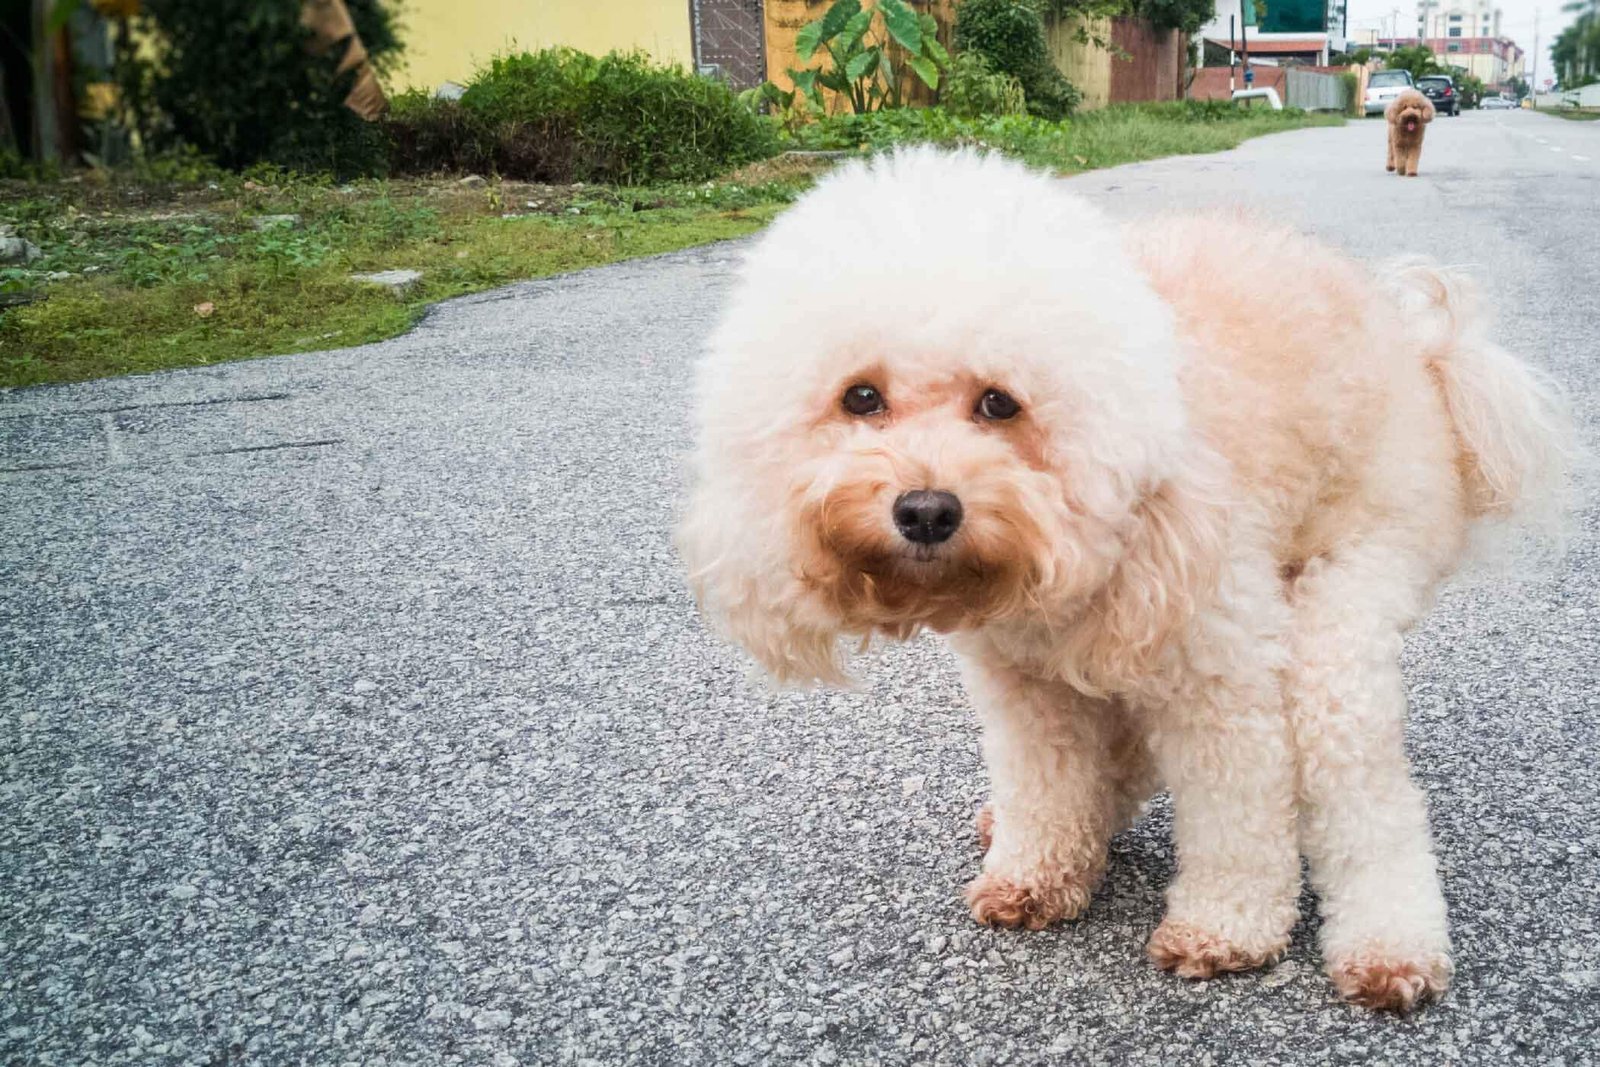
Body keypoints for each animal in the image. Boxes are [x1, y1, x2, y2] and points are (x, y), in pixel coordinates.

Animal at [681, 147, 1568, 1011]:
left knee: (1358, 776)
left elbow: (1240, 807)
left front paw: (1225, 927)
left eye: (999, 402)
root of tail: (1427, 351)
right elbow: (1047, 784)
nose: (926, 510)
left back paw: (1391, 948)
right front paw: (1035, 873)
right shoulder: (1026, 684)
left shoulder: (1218, 664)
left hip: (1354, 576)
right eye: (860, 396)